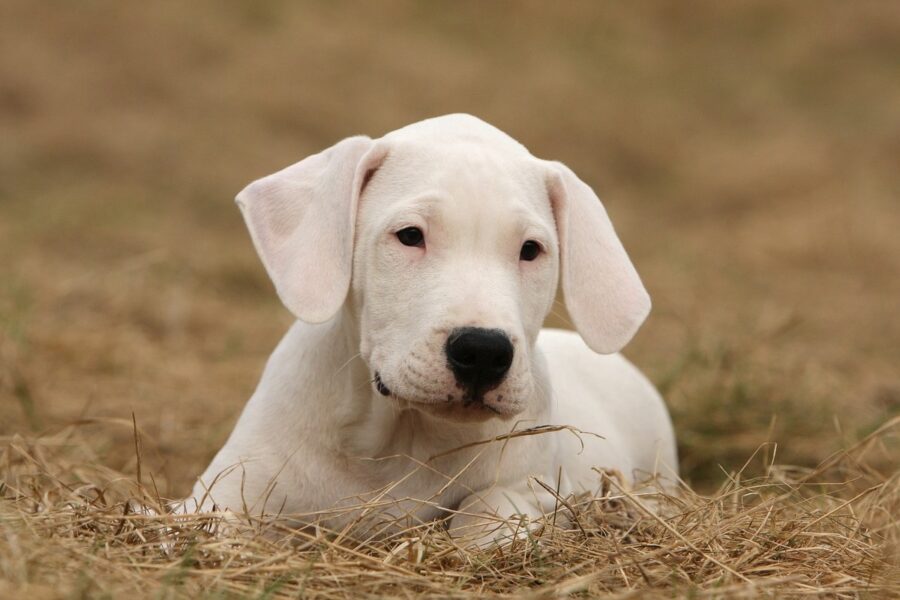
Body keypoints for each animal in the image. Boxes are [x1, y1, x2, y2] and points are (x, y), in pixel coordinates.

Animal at [186, 113, 672, 544]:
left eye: (531, 249)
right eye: (410, 236)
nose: (483, 352)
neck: (401, 439)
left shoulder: (535, 490)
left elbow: (486, 511)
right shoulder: (222, 493)